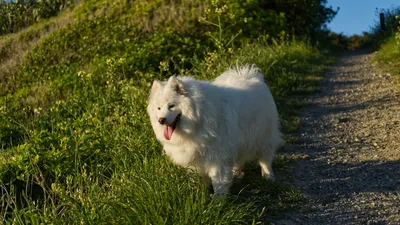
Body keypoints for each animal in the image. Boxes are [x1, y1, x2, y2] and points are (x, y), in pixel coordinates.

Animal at [146, 64, 282, 196]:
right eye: (158, 108)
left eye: (171, 106)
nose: (161, 120)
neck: (198, 121)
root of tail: (251, 76)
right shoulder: (196, 158)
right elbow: (200, 179)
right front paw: (201, 194)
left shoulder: (218, 156)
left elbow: (218, 182)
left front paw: (218, 200)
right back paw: (236, 173)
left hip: (263, 137)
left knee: (265, 159)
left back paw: (268, 176)